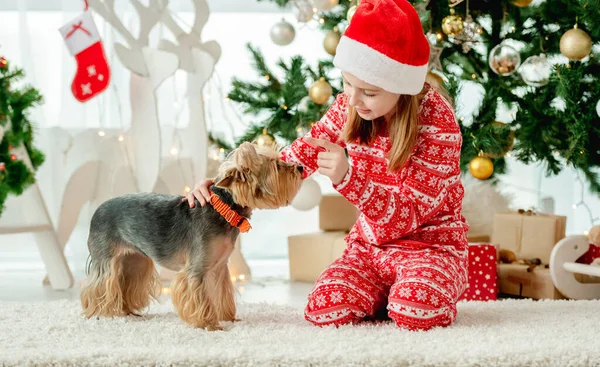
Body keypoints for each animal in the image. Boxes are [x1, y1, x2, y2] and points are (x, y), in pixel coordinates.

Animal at [79, 142, 304, 330]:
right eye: (277, 166)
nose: (300, 168)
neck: (225, 209)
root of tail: (97, 210)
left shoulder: (218, 268)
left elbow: (221, 293)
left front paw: (228, 318)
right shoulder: (197, 269)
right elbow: (200, 295)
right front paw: (209, 325)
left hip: (135, 259)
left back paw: (127, 312)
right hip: (106, 256)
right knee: (99, 282)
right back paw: (99, 312)